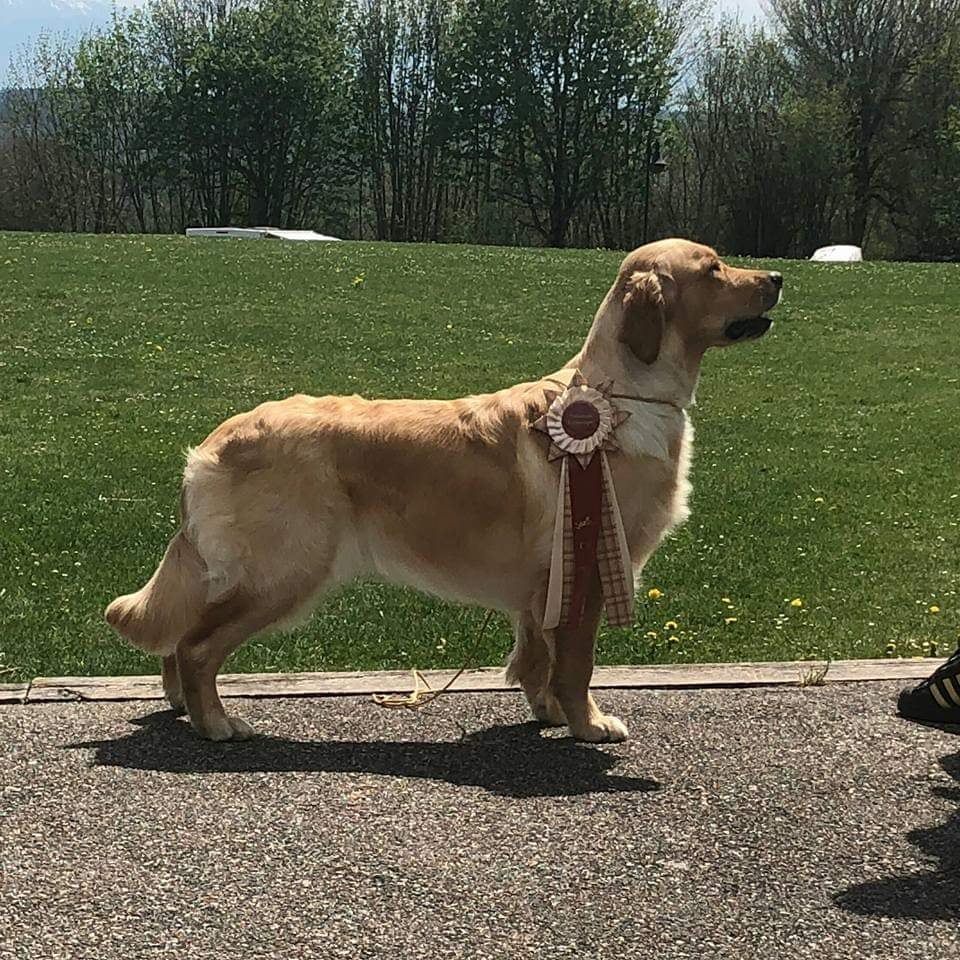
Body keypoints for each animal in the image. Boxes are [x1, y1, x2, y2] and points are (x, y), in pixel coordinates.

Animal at [105, 238, 780, 744]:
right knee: (196, 646)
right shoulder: (585, 566)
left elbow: (535, 656)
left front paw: (548, 713)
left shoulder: (546, 580)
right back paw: (217, 723)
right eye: (713, 268)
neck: (620, 397)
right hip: (284, 570)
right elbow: (576, 662)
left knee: (177, 638)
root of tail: (210, 445)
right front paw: (588, 725)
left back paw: (181, 709)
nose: (776, 275)